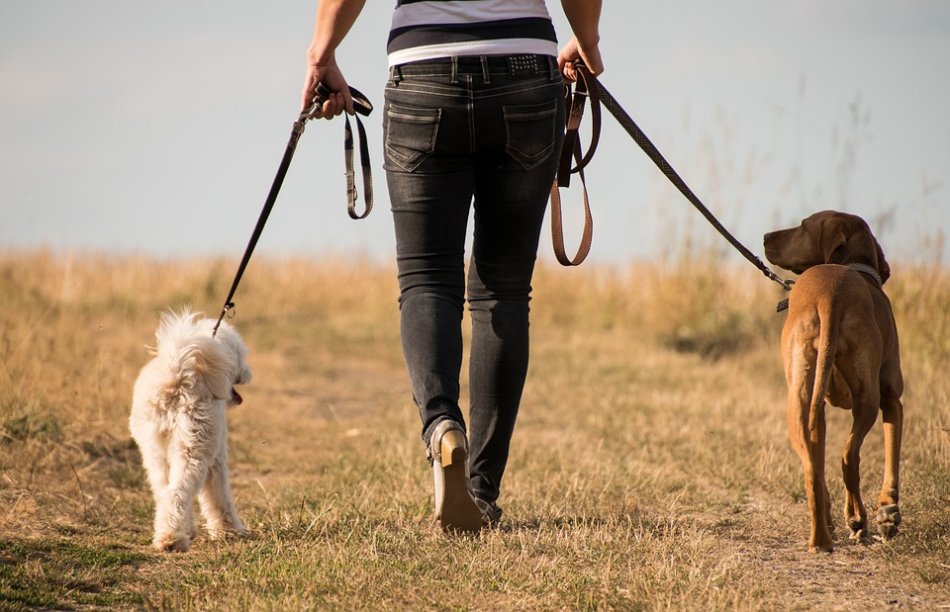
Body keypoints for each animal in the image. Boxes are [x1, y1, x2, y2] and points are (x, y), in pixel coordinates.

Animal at [132, 308, 256, 552]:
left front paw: (190, 528)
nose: (248, 371)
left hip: (154, 452)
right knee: (176, 493)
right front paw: (230, 529)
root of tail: (178, 373)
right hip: (194, 449)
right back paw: (173, 540)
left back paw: (168, 534)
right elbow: (219, 497)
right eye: (240, 356)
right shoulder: (217, 459)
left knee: (164, 492)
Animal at [764, 213, 904, 552]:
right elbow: (891, 457)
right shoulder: (892, 397)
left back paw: (822, 538)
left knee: (812, 470)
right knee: (848, 457)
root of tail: (831, 295)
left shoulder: (821, 409)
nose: (764, 237)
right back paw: (858, 521)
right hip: (867, 400)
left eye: (803, 225)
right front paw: (888, 513)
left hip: (799, 403)